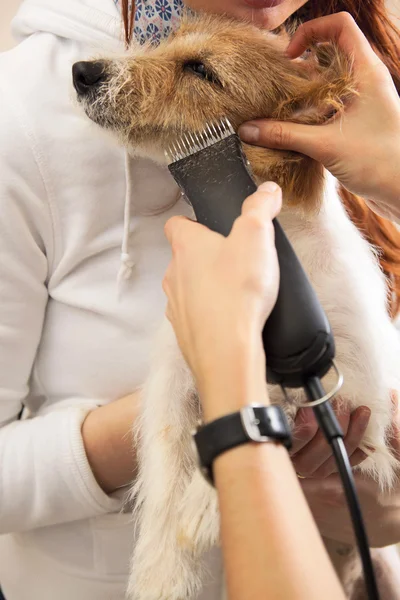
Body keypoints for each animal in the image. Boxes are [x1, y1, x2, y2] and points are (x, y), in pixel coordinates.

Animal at [73, 14, 400, 600]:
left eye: (201, 70)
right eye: (166, 43)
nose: (83, 71)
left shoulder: (360, 393)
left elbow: (280, 396)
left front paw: (205, 505)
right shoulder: (173, 382)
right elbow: (166, 471)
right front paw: (163, 572)